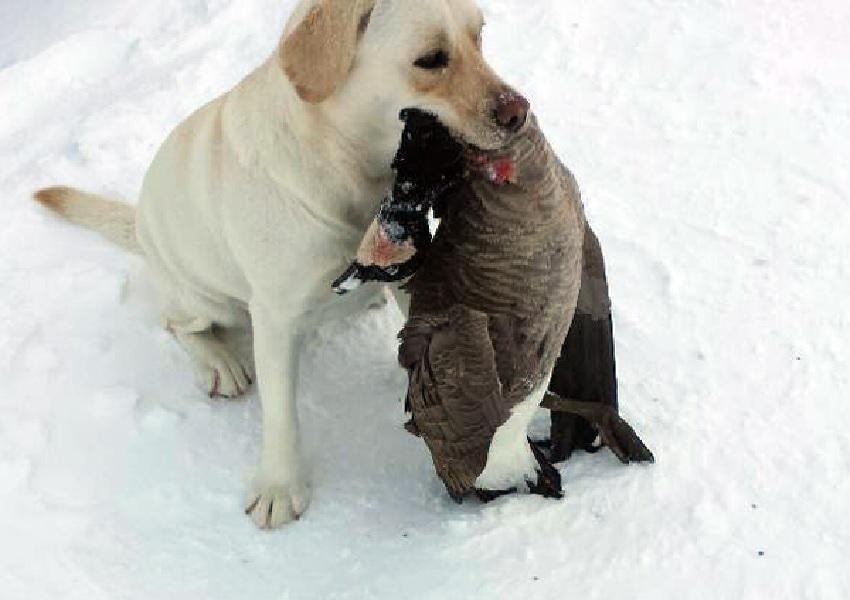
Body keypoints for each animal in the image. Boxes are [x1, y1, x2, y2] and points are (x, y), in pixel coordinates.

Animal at [34, 0, 528, 528]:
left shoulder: (408, 273)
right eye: (431, 59)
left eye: (479, 38)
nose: (519, 112)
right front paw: (279, 485)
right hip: (200, 299)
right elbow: (281, 415)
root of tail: (141, 229)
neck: (347, 169)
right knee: (175, 324)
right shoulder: (274, 317)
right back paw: (221, 362)